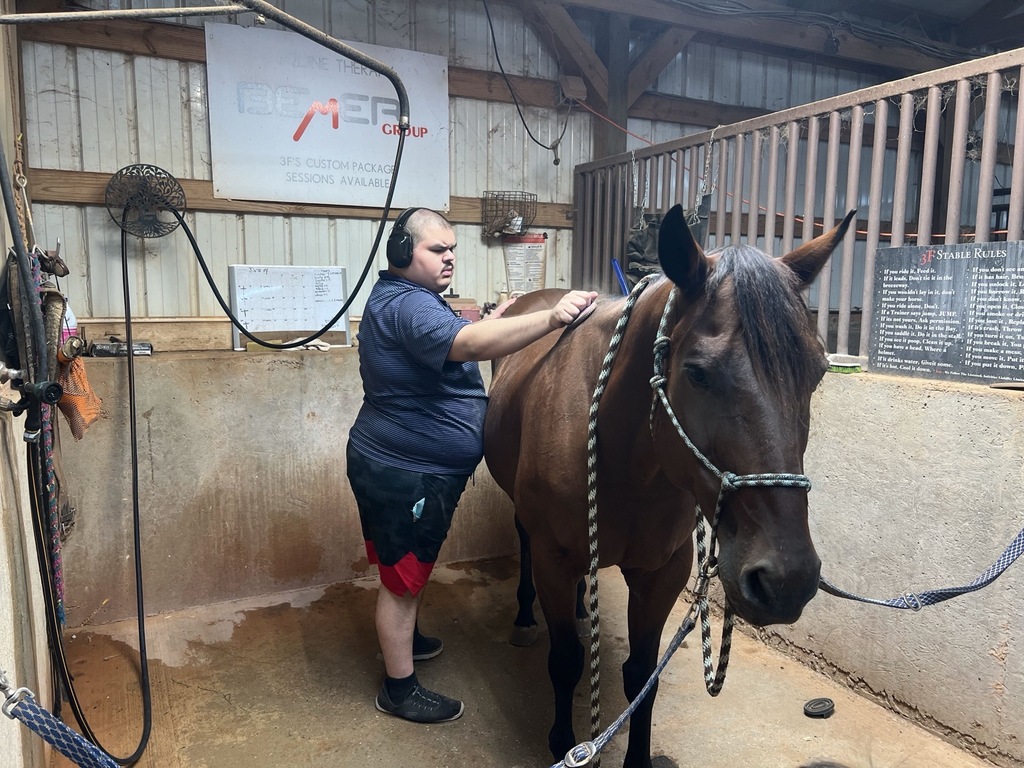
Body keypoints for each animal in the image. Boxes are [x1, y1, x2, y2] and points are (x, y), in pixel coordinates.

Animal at [483, 203, 855, 768]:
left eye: (817, 372)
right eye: (697, 373)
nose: (787, 579)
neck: (627, 464)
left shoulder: (663, 572)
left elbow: (641, 677)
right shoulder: (553, 558)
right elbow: (566, 661)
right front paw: (563, 741)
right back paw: (528, 616)